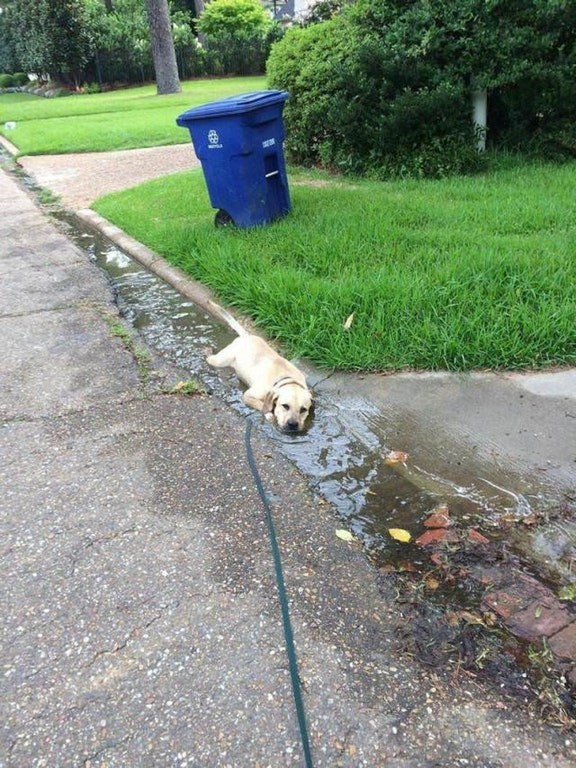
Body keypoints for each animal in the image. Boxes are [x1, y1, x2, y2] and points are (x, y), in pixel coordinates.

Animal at [207, 300, 312, 432]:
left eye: (303, 410)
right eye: (285, 406)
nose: (293, 424)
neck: (287, 379)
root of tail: (246, 336)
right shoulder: (248, 396)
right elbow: (262, 405)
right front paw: (269, 413)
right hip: (220, 360)